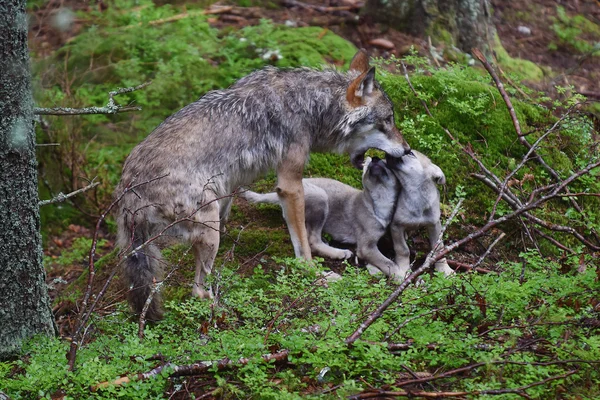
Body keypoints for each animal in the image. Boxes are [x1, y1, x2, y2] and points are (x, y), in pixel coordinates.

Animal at [240, 157, 404, 278]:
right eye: (368, 165)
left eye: (385, 162)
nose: (374, 158)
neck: (379, 201)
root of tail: (277, 194)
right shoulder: (365, 246)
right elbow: (387, 262)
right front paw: (400, 275)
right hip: (320, 198)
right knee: (313, 241)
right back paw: (338, 252)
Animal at [384, 149, 454, 278]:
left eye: (410, 153)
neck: (416, 196)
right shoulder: (396, 226)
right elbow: (403, 250)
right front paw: (403, 269)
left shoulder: (434, 225)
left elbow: (439, 248)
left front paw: (444, 269)